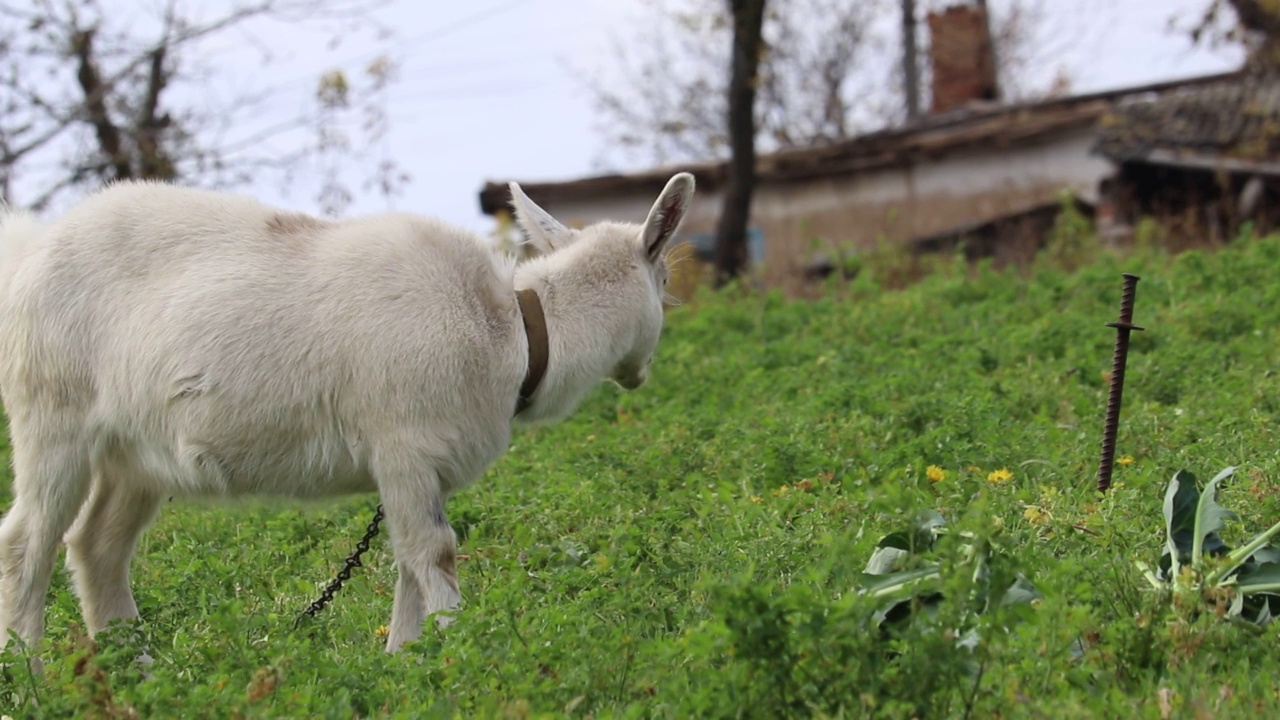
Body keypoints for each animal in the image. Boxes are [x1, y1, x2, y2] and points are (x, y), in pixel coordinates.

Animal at [0, 170, 696, 653]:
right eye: (664, 279)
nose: (639, 375)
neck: (511, 331)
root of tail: (32, 252)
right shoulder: (404, 444)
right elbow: (435, 553)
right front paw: (465, 655)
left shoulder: (418, 466)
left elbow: (408, 563)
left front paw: (407, 664)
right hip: (51, 413)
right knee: (27, 540)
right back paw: (30, 677)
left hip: (135, 455)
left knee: (96, 545)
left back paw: (134, 674)